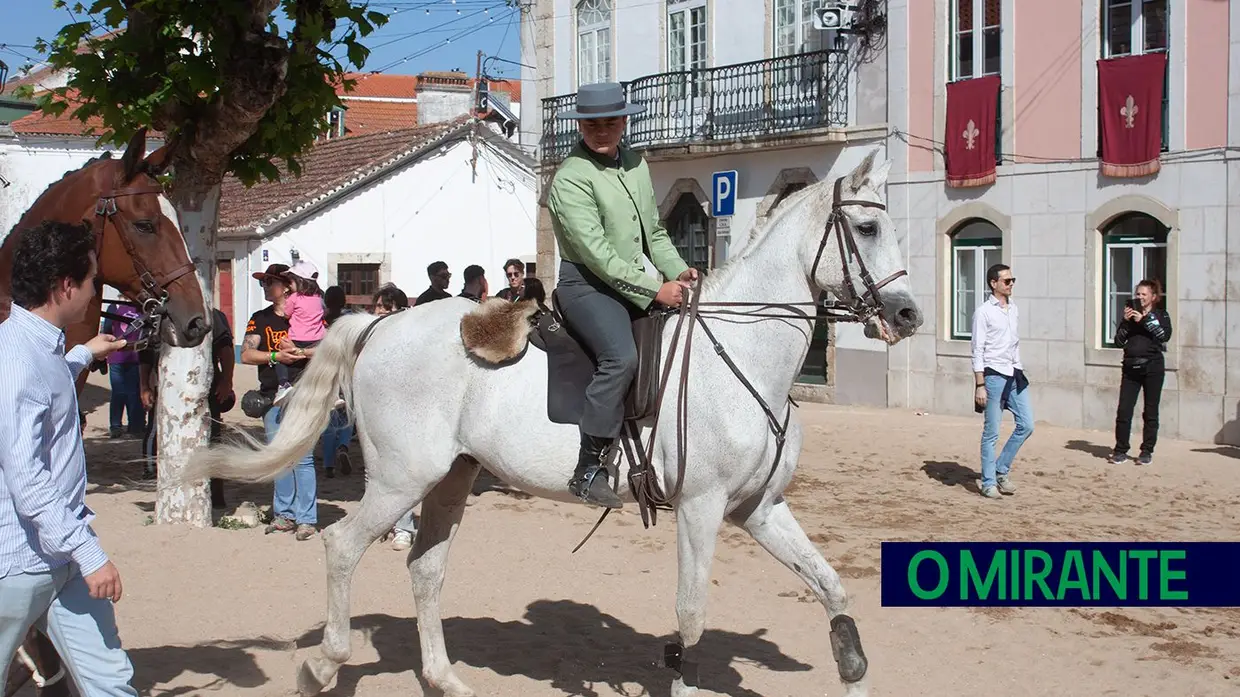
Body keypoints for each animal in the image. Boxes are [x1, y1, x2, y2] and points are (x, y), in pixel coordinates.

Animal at [183, 149, 922, 689]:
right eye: (866, 228)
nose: (910, 314)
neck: (740, 354)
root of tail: (378, 324)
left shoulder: (760, 508)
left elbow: (831, 589)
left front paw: (852, 667)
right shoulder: (702, 508)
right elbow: (690, 620)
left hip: (451, 478)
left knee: (425, 568)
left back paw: (444, 678)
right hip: (401, 478)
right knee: (342, 547)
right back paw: (324, 664)